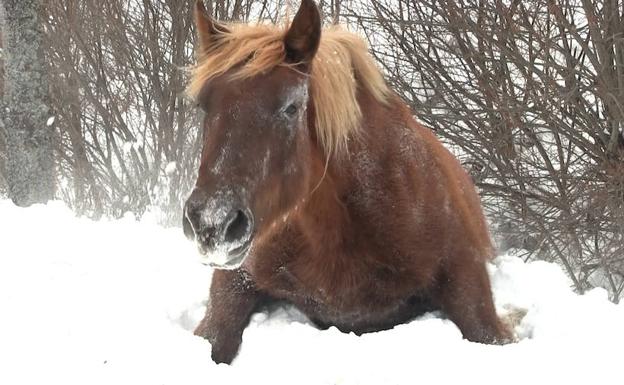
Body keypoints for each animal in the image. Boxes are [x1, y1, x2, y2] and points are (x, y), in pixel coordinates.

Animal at [184, 0, 512, 364]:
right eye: (202, 105)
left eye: (291, 107)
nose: (213, 224)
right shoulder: (236, 279)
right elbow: (215, 335)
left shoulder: (469, 285)